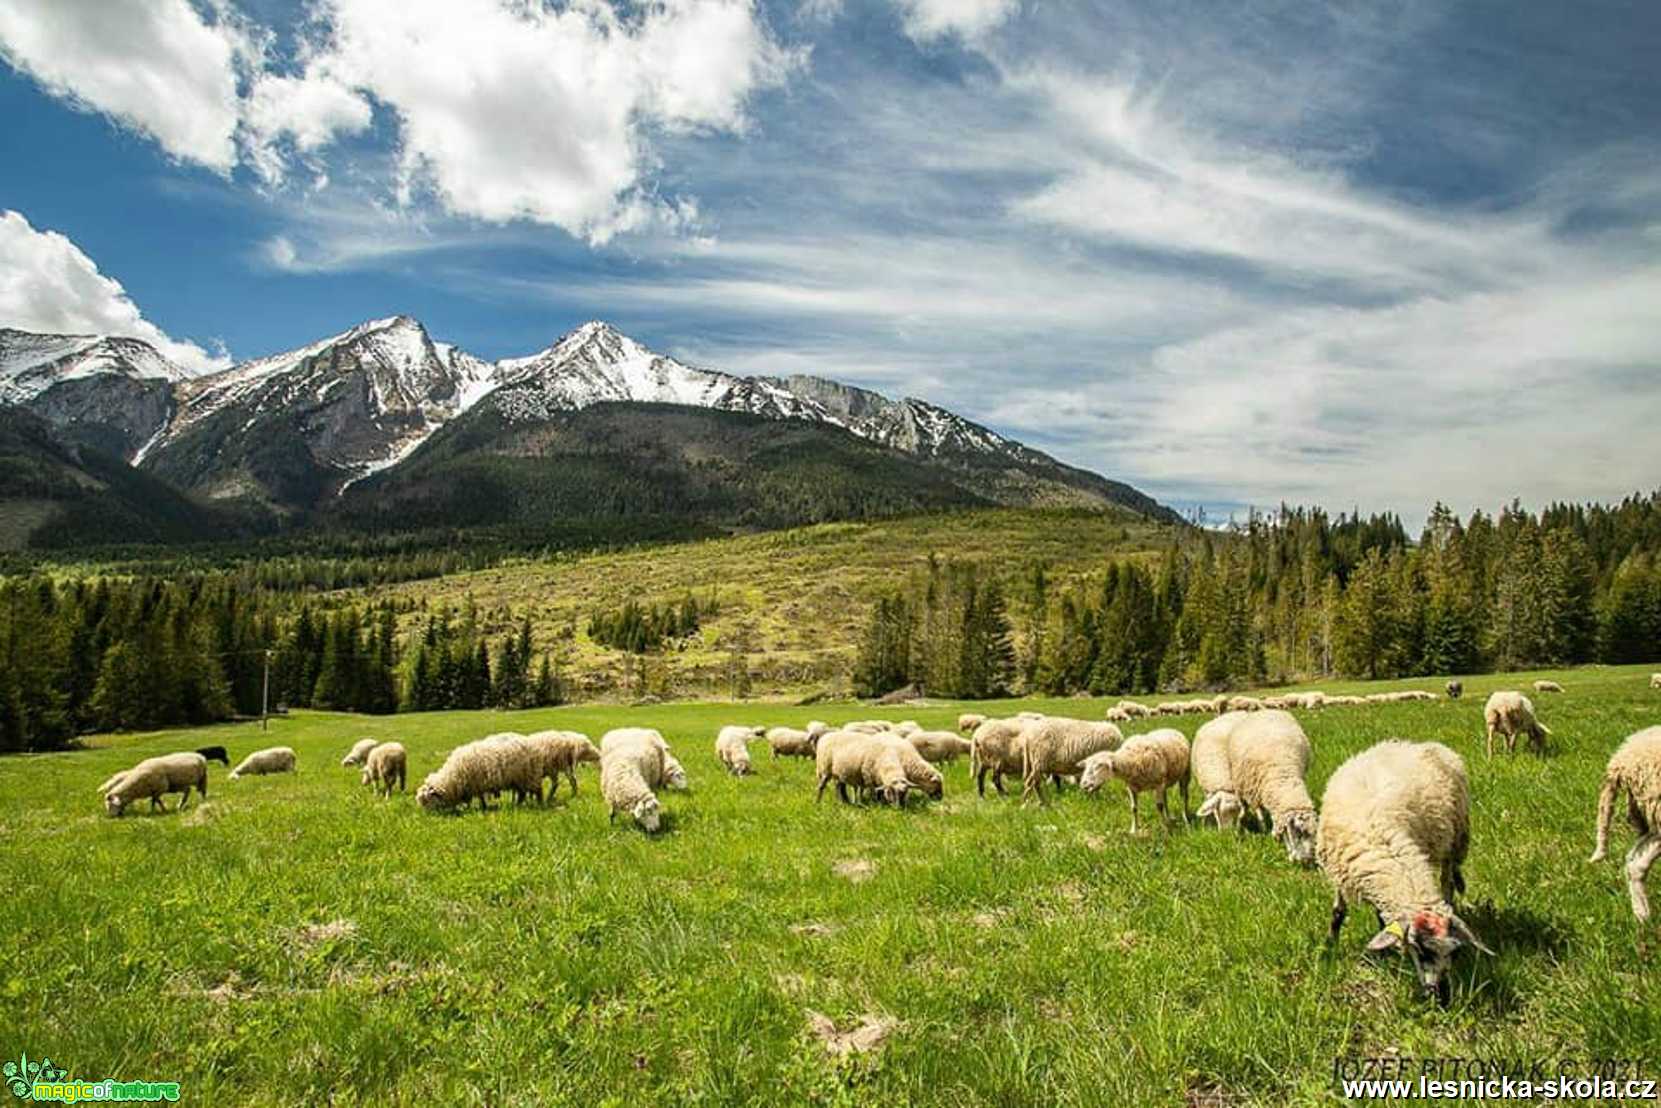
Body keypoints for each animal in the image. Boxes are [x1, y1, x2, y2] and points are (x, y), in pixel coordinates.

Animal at [1308, 740, 1494, 1009]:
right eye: (1421, 950)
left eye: (1455, 952)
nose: (1442, 998)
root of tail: (1416, 744)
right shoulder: (1342, 873)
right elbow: (1338, 913)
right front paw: (1330, 947)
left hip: (1454, 841)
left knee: (1447, 882)